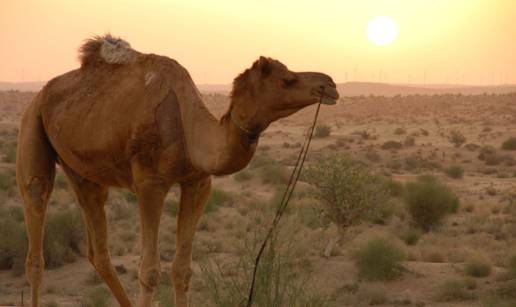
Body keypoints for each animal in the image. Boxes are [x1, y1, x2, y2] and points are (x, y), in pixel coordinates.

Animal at [16, 34, 338, 307]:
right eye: (287, 79)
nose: (330, 84)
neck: (189, 127)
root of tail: (40, 95)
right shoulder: (149, 184)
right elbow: (149, 270)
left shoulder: (197, 183)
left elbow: (182, 269)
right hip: (31, 125)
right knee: (35, 241)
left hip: (84, 173)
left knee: (98, 251)